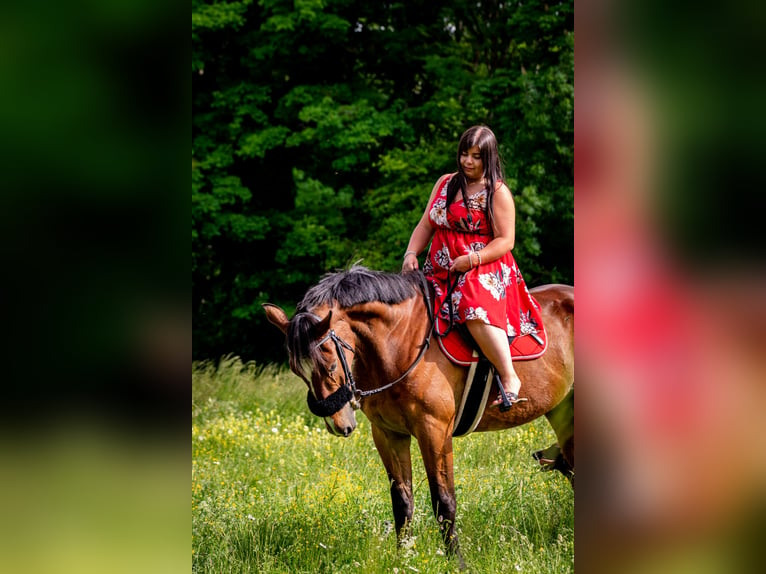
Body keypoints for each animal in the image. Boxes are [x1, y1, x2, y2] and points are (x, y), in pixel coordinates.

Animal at [266, 266, 576, 572]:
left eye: (330, 364)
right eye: (297, 370)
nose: (338, 424)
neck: (401, 345)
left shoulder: (435, 431)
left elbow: (443, 500)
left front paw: (456, 562)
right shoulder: (388, 434)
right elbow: (402, 501)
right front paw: (403, 558)